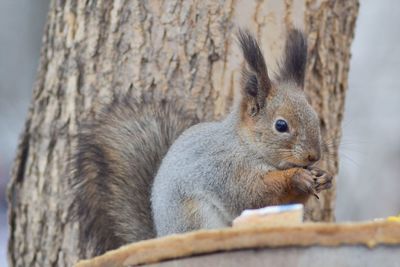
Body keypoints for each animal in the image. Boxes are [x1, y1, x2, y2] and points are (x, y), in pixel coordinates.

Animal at [70, 28, 332, 258]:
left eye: (314, 116)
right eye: (281, 125)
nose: (314, 156)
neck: (245, 145)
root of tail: (162, 237)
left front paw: (323, 178)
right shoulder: (223, 168)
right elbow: (253, 195)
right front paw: (298, 177)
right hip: (196, 218)